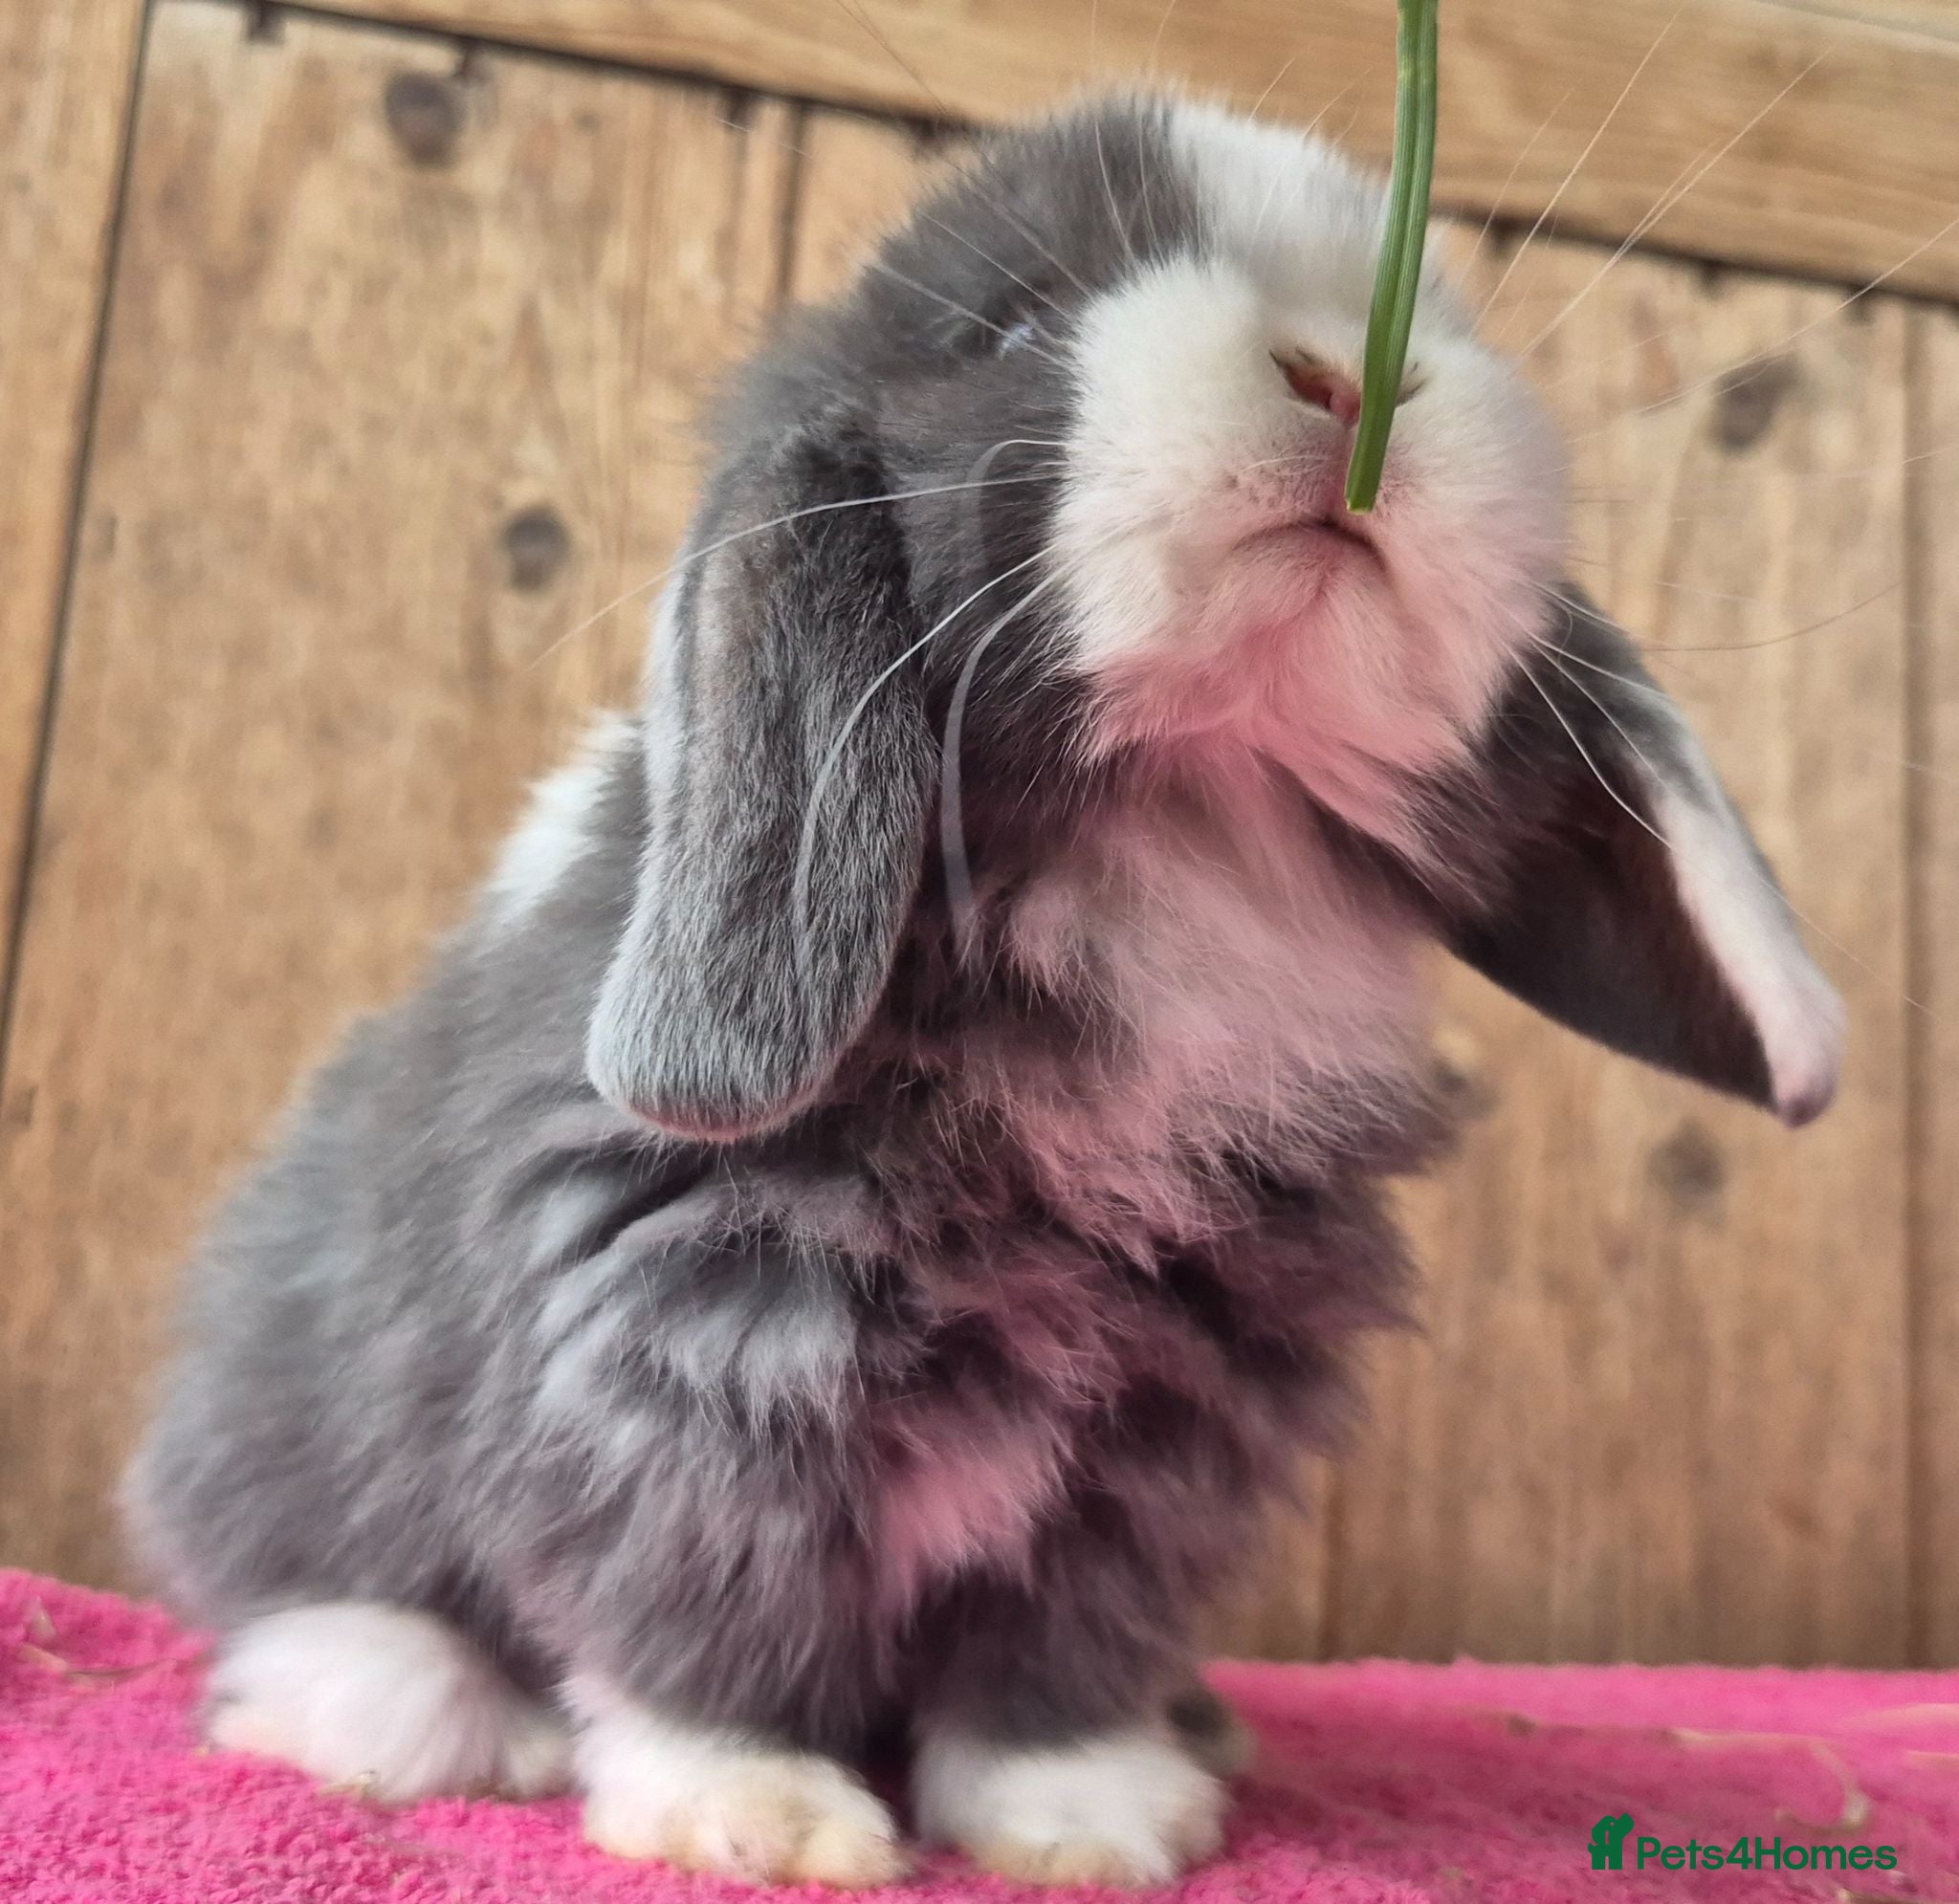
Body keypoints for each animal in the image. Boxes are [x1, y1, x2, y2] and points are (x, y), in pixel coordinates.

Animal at [125, 94, 1844, 1888]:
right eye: (1015, 327)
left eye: (1433, 317)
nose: (1345, 377)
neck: (1186, 825)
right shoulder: (687, 1360)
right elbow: (700, 1608)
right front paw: (758, 1814)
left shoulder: (1162, 1439)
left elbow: (1054, 1657)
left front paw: (1092, 1821)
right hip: (286, 1432)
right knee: (290, 1580)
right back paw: (406, 1704)